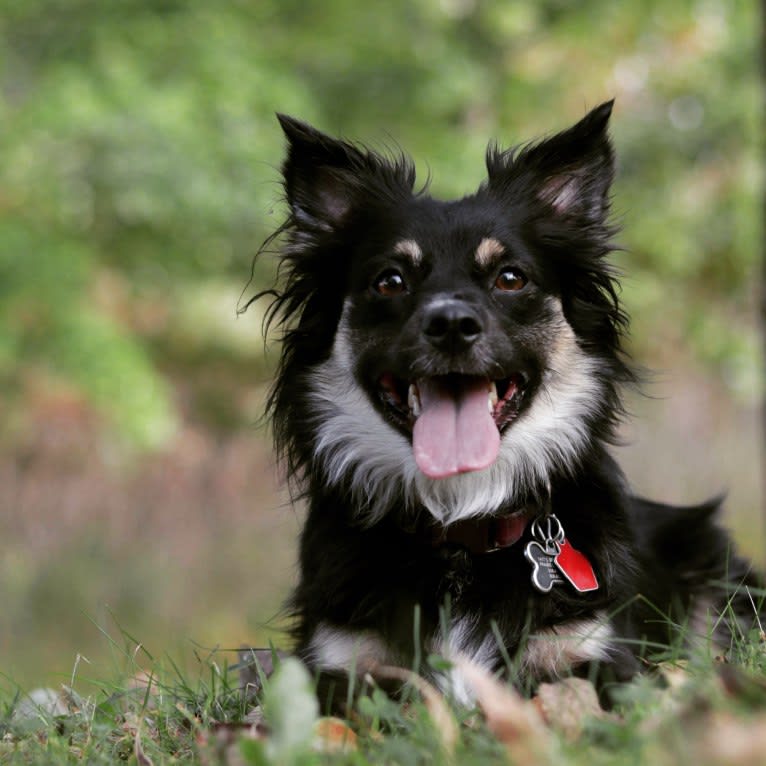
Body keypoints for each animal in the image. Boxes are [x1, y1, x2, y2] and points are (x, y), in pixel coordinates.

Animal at [256, 102, 760, 708]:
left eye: (510, 278)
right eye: (390, 281)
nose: (451, 324)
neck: (459, 528)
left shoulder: (593, 653)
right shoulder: (339, 664)